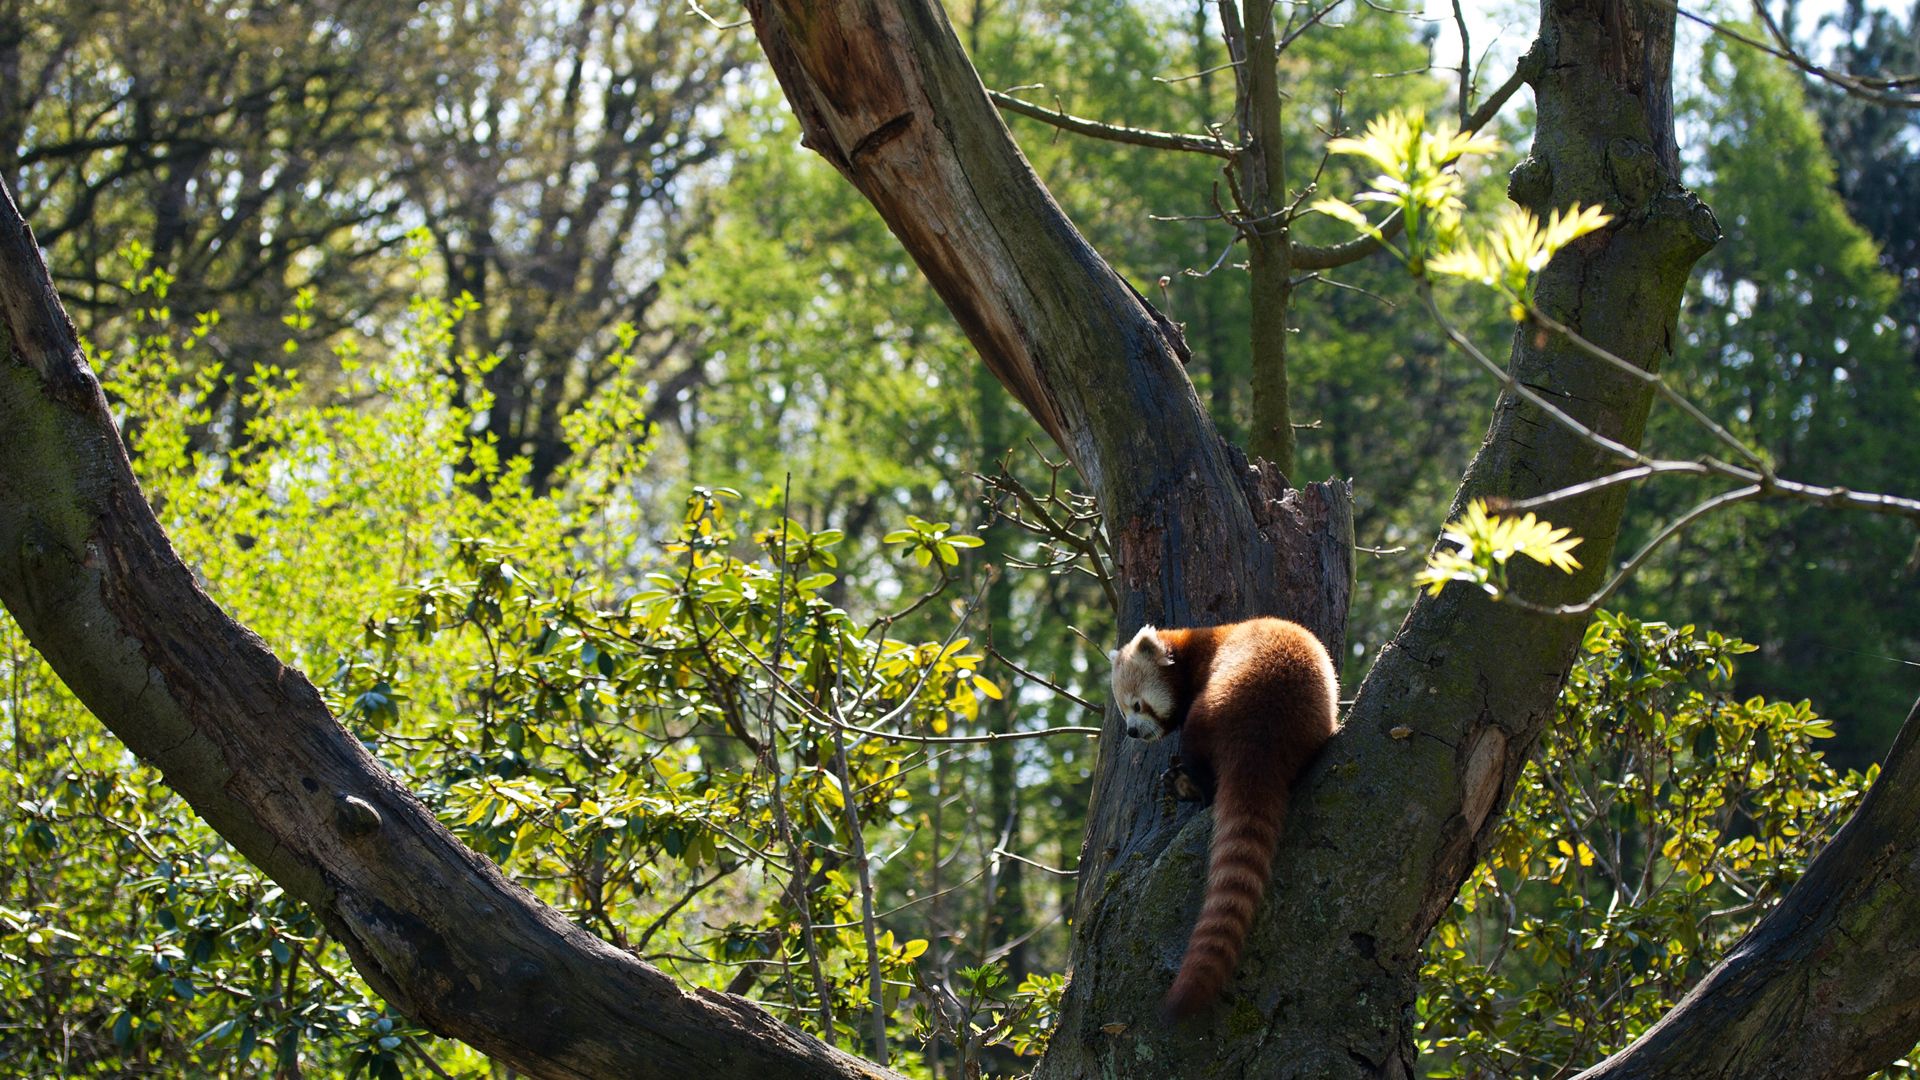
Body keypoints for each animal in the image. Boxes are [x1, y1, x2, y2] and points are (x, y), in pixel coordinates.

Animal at [1113, 614, 1336, 1014]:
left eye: (1137, 705)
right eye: (1123, 710)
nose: (1133, 732)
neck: (1191, 647)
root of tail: (1261, 735)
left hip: (1218, 703)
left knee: (1199, 745)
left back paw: (1191, 788)